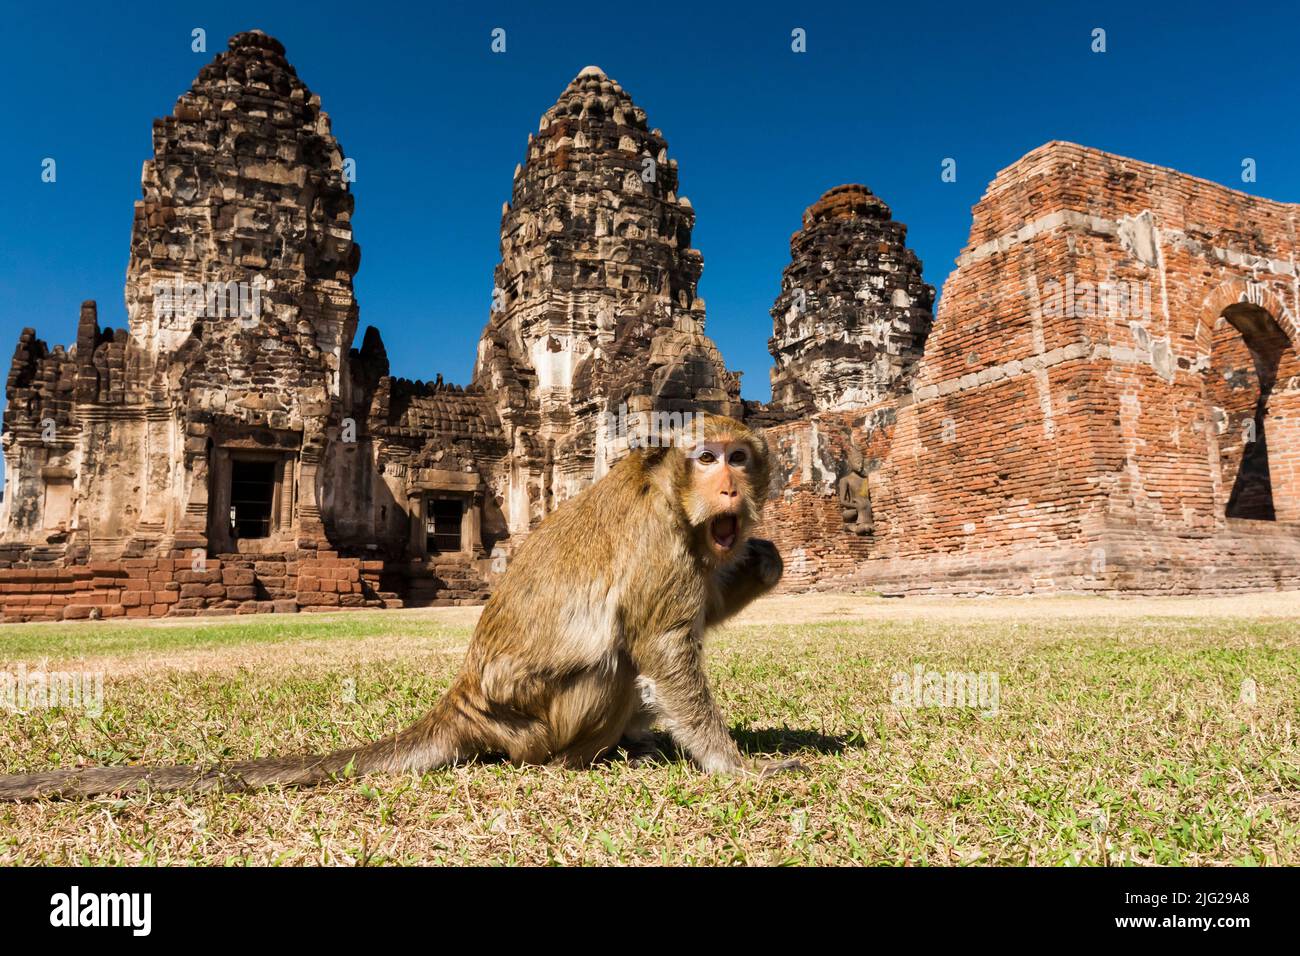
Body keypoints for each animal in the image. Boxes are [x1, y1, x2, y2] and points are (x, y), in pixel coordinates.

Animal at [0, 411, 795, 801]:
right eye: (706, 457)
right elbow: (661, 646)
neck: (673, 496)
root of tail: (464, 701)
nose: (730, 486)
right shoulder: (661, 541)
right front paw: (735, 767)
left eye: (739, 457)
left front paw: (763, 562)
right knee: (616, 666)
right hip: (541, 722)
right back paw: (586, 760)